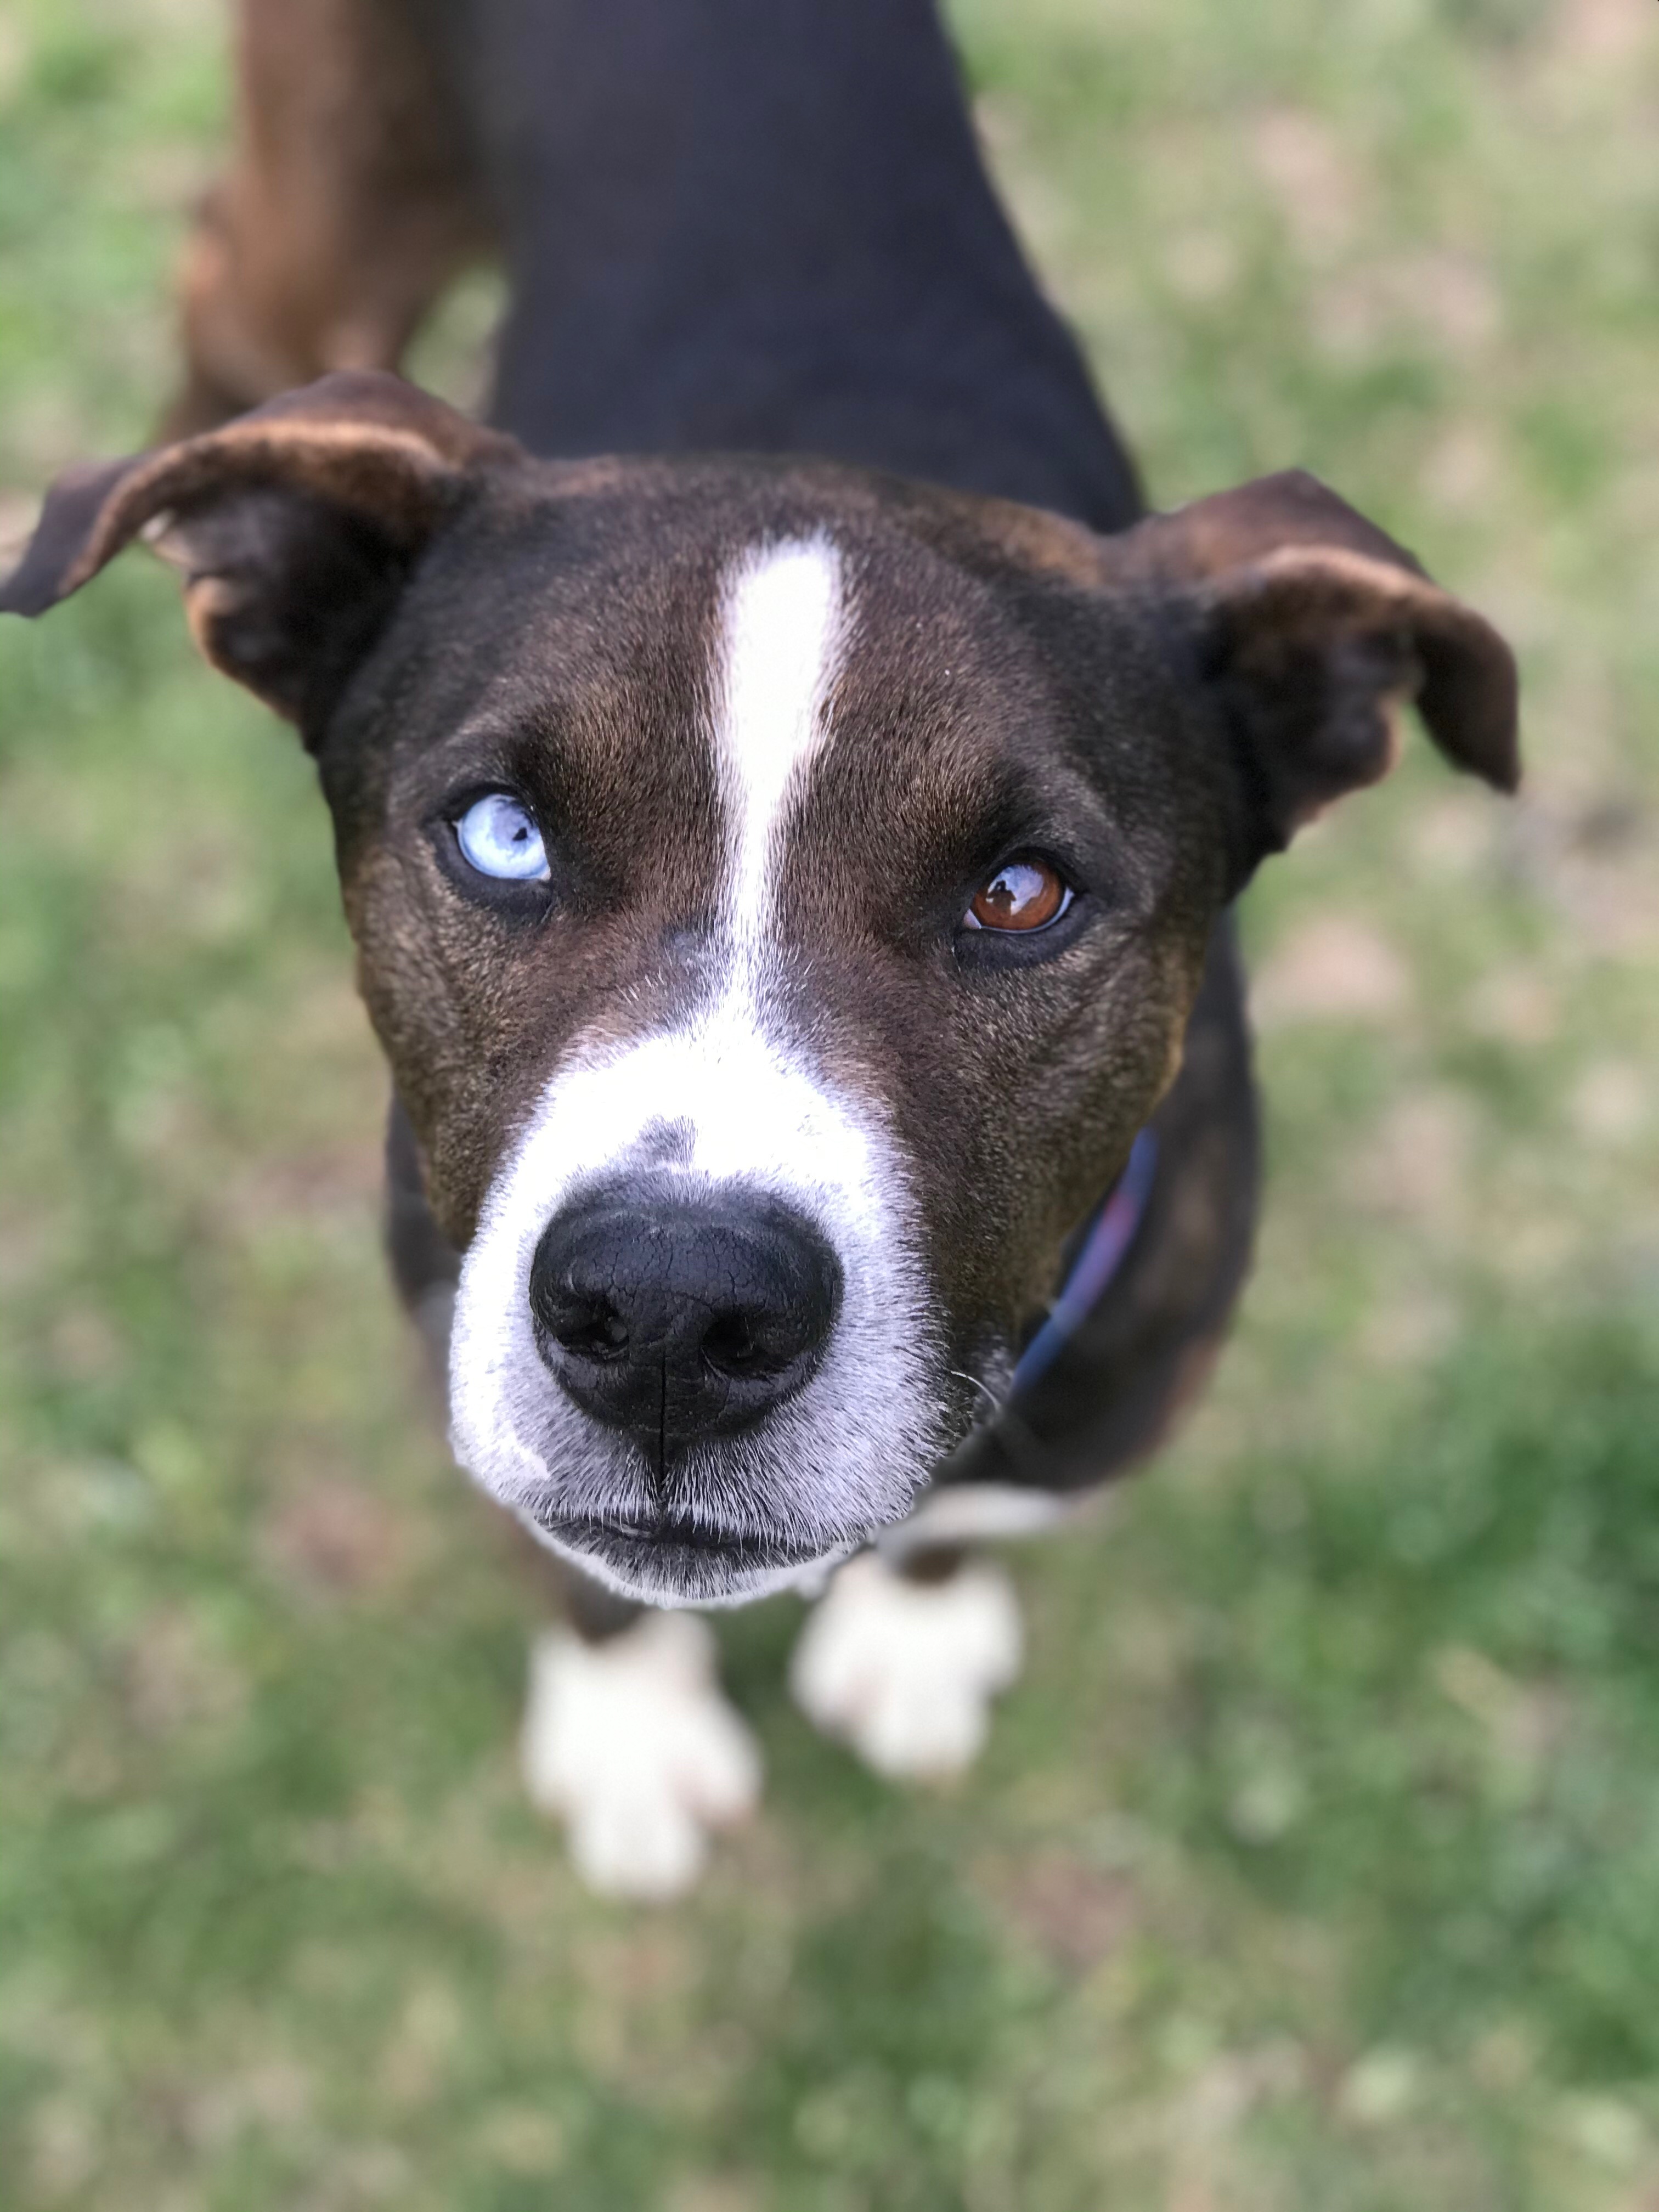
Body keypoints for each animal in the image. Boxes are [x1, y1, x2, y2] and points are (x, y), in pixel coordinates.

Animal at [0, 0, 1522, 1902]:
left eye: (1021, 895)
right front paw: (631, 1740)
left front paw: (918, 1637)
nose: (668, 1312)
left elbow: (961, 1527)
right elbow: (573, 1574)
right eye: (504, 837)